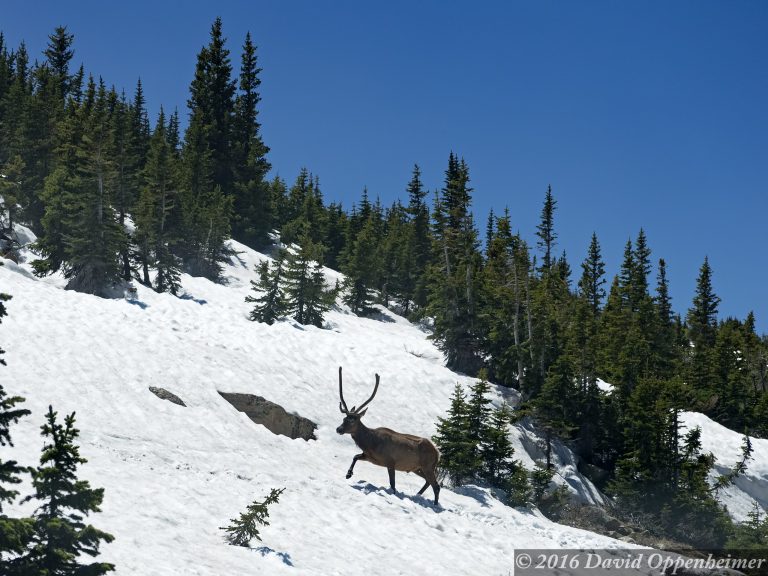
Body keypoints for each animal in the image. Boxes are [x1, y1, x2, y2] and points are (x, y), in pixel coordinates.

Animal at [335, 367, 441, 506]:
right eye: (344, 418)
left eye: (353, 420)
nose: (338, 429)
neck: (371, 443)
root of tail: (438, 453)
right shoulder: (370, 457)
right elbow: (355, 456)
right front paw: (348, 474)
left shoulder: (391, 461)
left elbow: (392, 484)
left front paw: (393, 494)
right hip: (417, 468)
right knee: (429, 482)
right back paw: (417, 495)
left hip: (428, 466)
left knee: (436, 485)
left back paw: (434, 505)